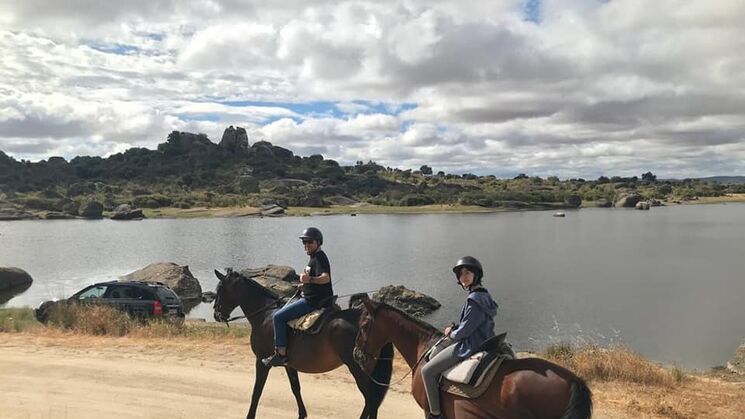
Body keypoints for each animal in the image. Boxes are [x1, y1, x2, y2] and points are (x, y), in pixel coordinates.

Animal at [211, 270, 392, 419]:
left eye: (220, 290)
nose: (216, 314)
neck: (265, 315)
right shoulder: (289, 364)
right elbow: (295, 388)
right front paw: (302, 414)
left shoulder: (261, 361)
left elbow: (257, 391)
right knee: (372, 401)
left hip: (358, 368)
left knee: (371, 400)